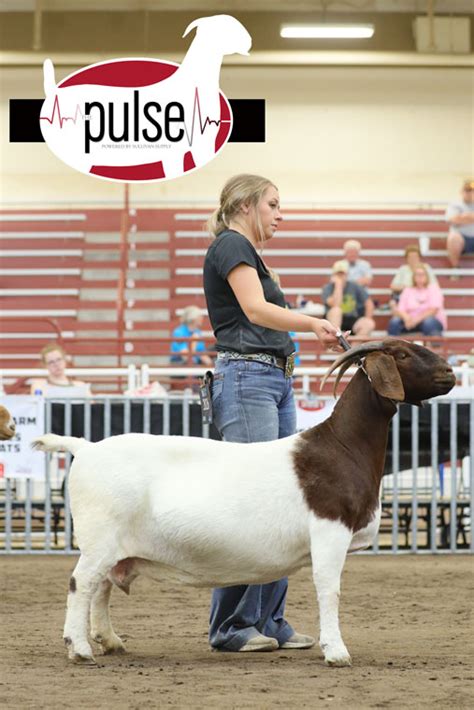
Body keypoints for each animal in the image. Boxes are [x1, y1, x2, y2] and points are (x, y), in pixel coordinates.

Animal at [33, 342, 456, 672]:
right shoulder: (329, 530)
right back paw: (80, 649)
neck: (342, 447)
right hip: (99, 537)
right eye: (403, 353)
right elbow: (329, 589)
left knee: (101, 586)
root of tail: (85, 447)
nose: (451, 372)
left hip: (114, 545)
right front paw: (336, 652)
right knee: (81, 584)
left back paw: (111, 641)